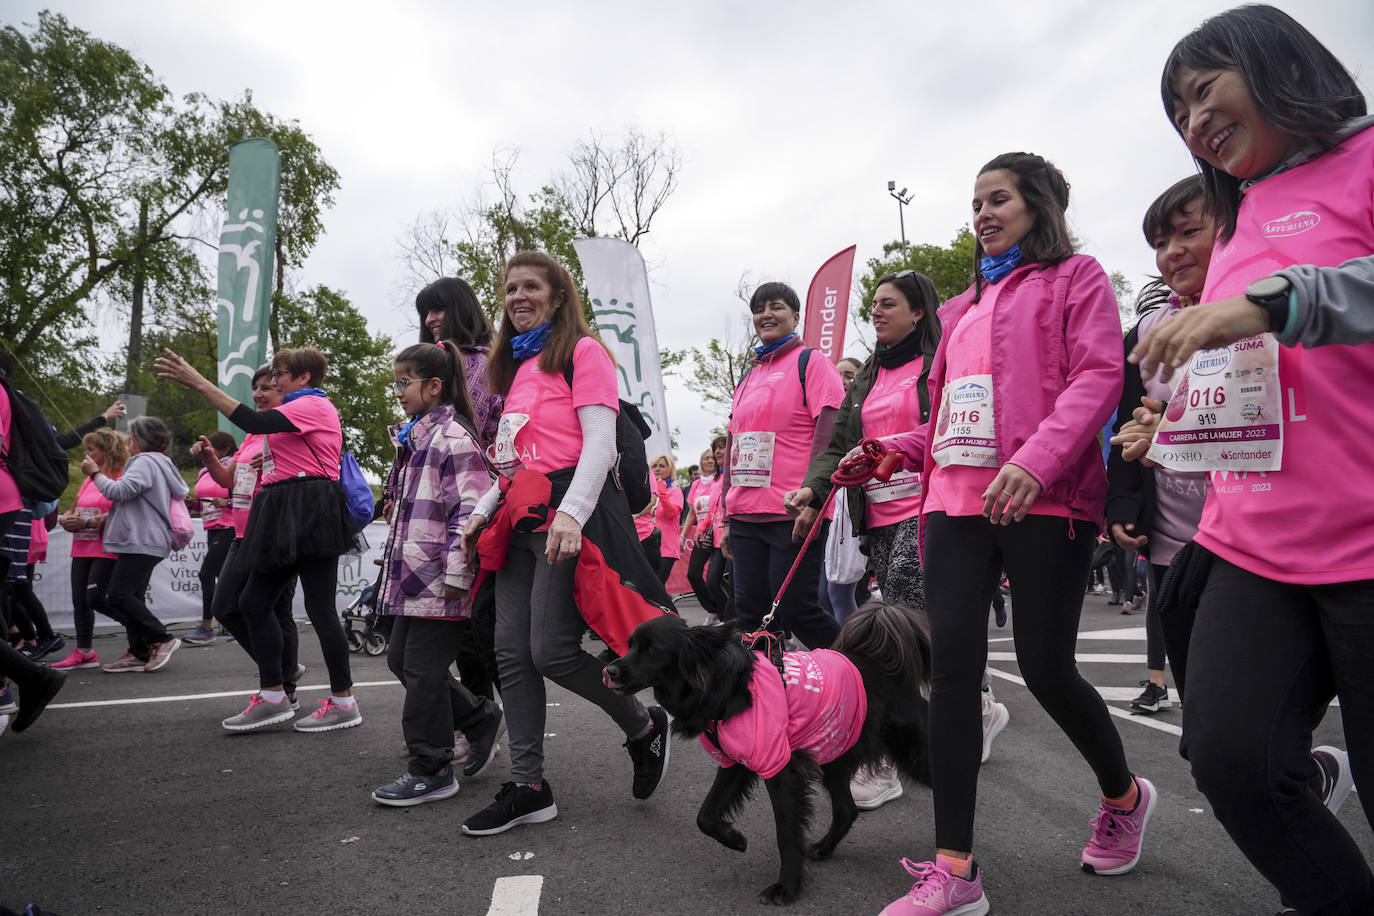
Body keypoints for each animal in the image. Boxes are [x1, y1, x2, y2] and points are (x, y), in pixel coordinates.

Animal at [604, 604, 934, 906]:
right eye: (630, 645)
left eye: (651, 650)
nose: (609, 671)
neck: (726, 686)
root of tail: (886, 669)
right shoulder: (735, 762)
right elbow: (705, 815)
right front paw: (734, 839)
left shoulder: (780, 768)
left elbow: (786, 832)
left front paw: (787, 887)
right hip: (834, 757)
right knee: (846, 810)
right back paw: (825, 848)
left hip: (915, 757)